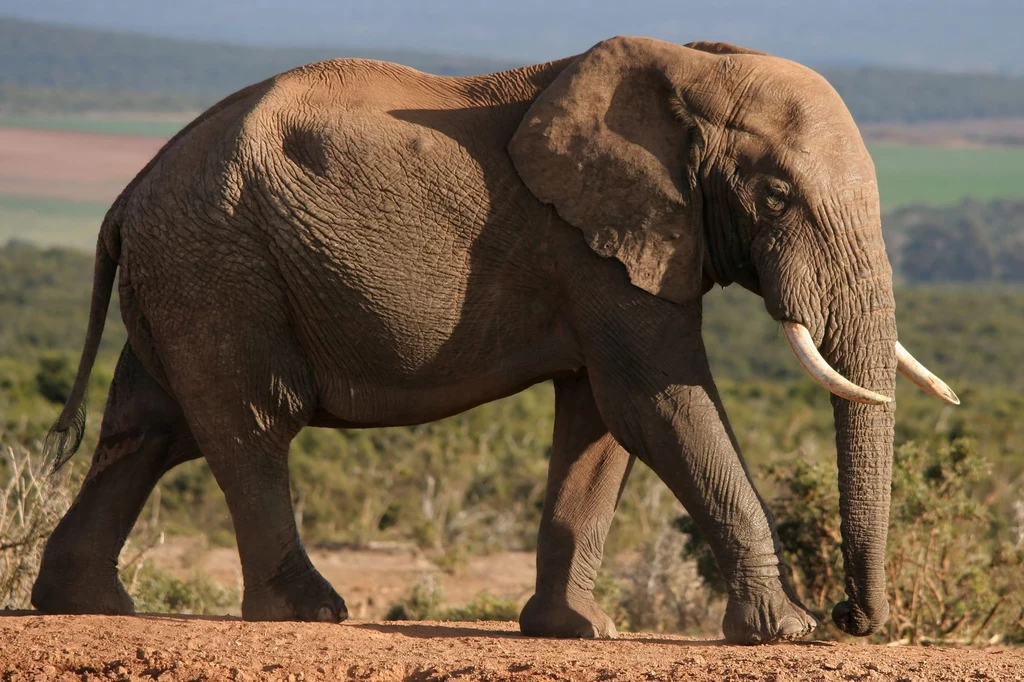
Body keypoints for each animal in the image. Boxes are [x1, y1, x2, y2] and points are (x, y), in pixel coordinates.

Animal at [32, 37, 958, 643]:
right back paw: (308, 613)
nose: (855, 617)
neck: (694, 66)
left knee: (147, 428)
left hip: (187, 274)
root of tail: (128, 192)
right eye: (775, 194)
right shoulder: (592, 245)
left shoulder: (605, 250)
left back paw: (85, 605)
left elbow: (603, 420)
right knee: (251, 422)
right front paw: (788, 632)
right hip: (220, 267)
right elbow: (655, 401)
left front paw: (575, 630)